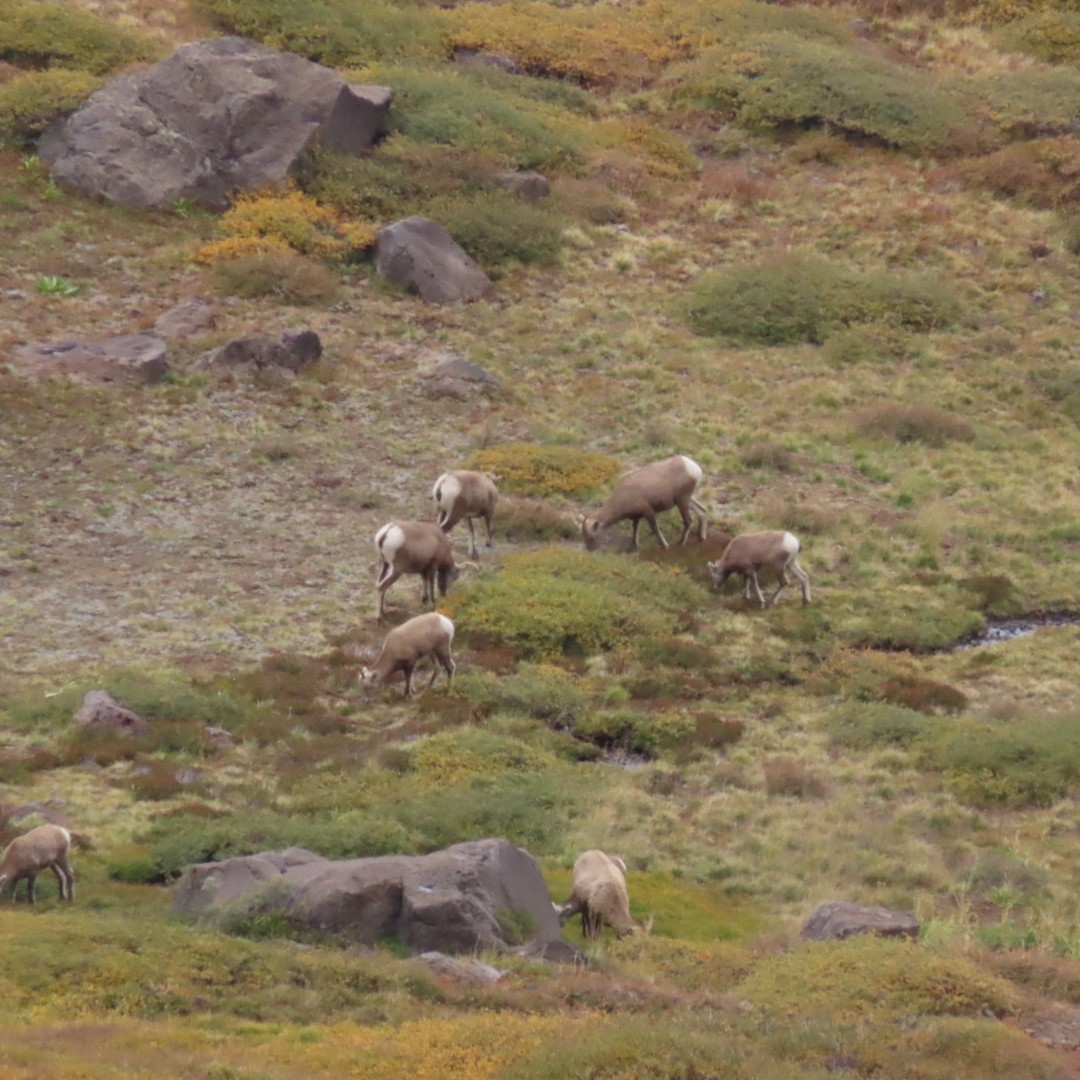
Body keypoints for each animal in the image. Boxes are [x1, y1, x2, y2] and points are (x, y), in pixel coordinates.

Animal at [576, 455, 708, 552]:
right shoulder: (636, 516)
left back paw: (680, 543)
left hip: (682, 501)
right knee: (702, 511)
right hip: (688, 500)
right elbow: (635, 528)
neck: (621, 498)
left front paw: (665, 546)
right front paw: (634, 546)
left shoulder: (647, 510)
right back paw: (701, 538)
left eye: (591, 537)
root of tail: (695, 469)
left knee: (688, 521)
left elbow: (654, 528)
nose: (590, 550)